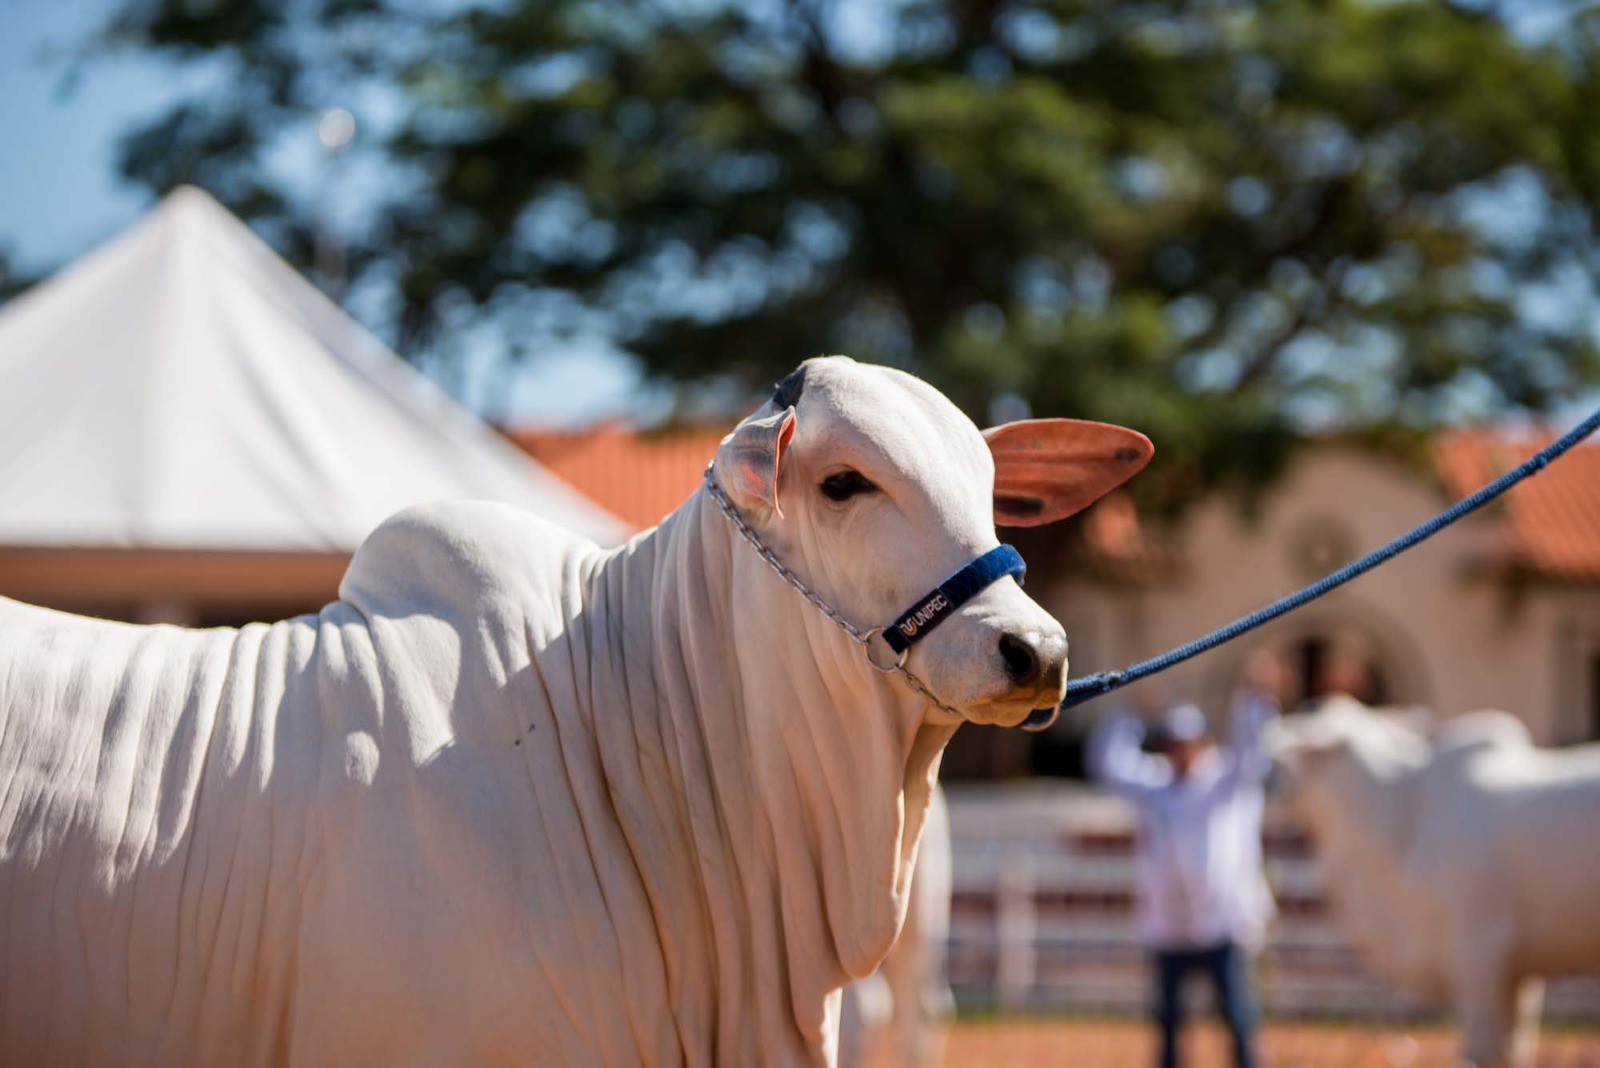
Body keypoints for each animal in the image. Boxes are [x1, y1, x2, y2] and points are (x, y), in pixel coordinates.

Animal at [1273, 700, 1600, 1068]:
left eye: (1306, 744)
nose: (1267, 779)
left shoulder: (1483, 952)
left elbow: (1483, 1050)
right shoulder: (1522, 972)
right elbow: (1513, 1049)